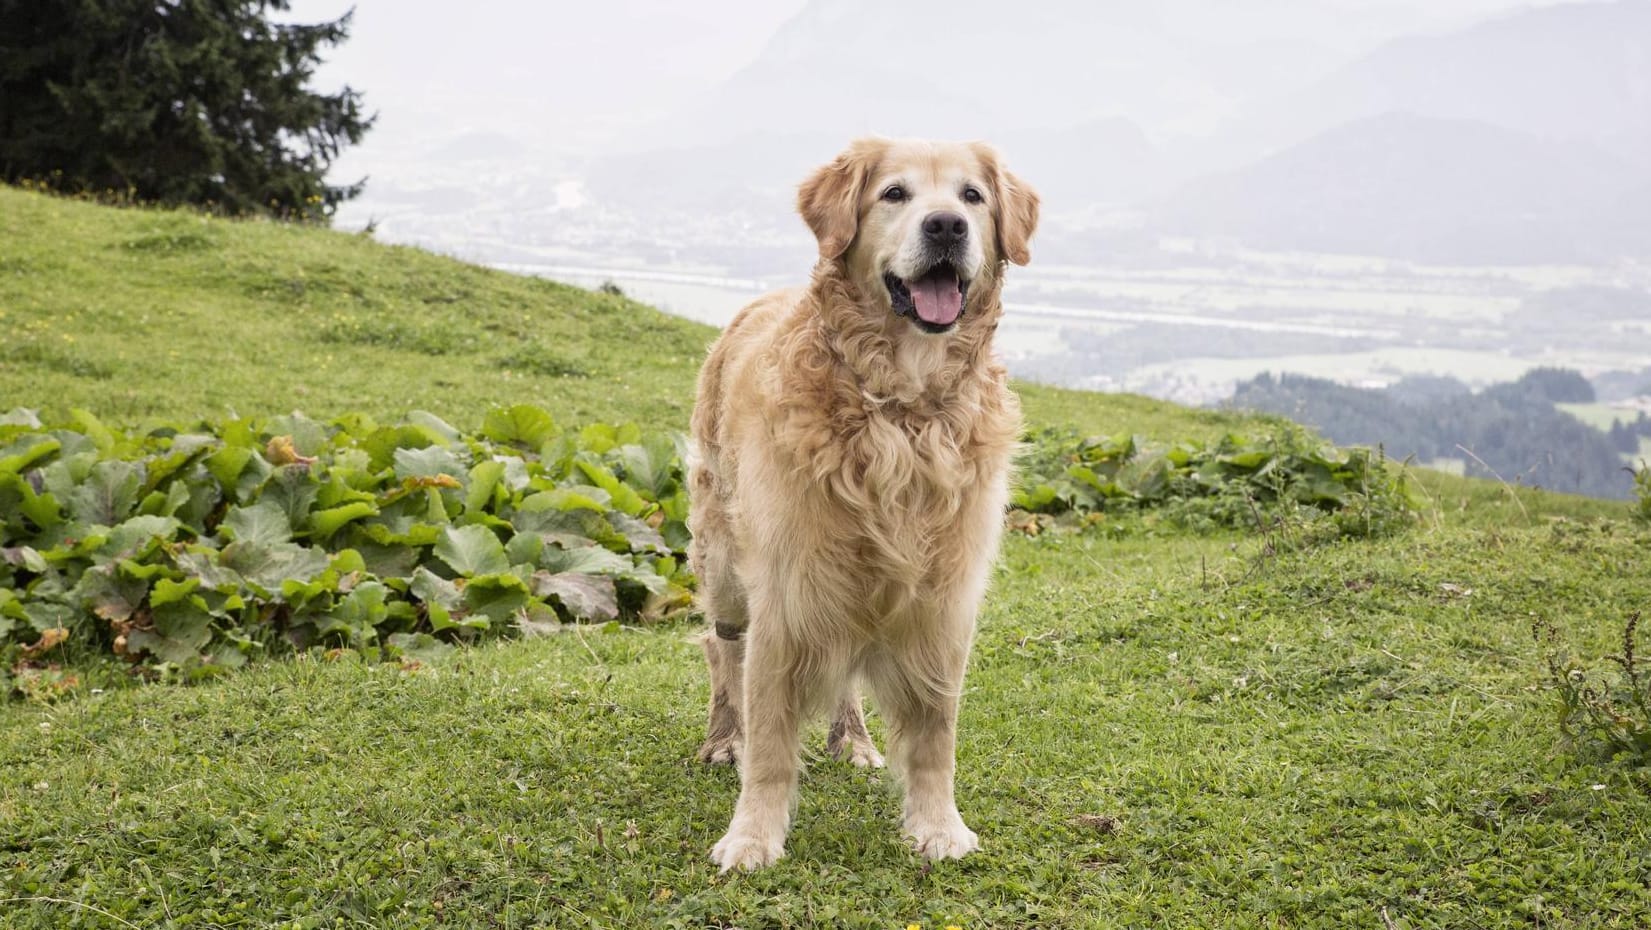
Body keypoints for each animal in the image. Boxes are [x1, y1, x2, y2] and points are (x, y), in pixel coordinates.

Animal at [680, 137, 1030, 872]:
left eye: (972, 197)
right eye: (894, 194)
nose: (946, 227)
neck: (901, 409)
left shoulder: (941, 600)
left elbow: (935, 733)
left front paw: (937, 825)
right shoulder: (783, 590)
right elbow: (770, 739)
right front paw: (752, 835)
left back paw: (855, 742)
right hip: (725, 561)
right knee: (721, 648)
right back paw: (723, 738)